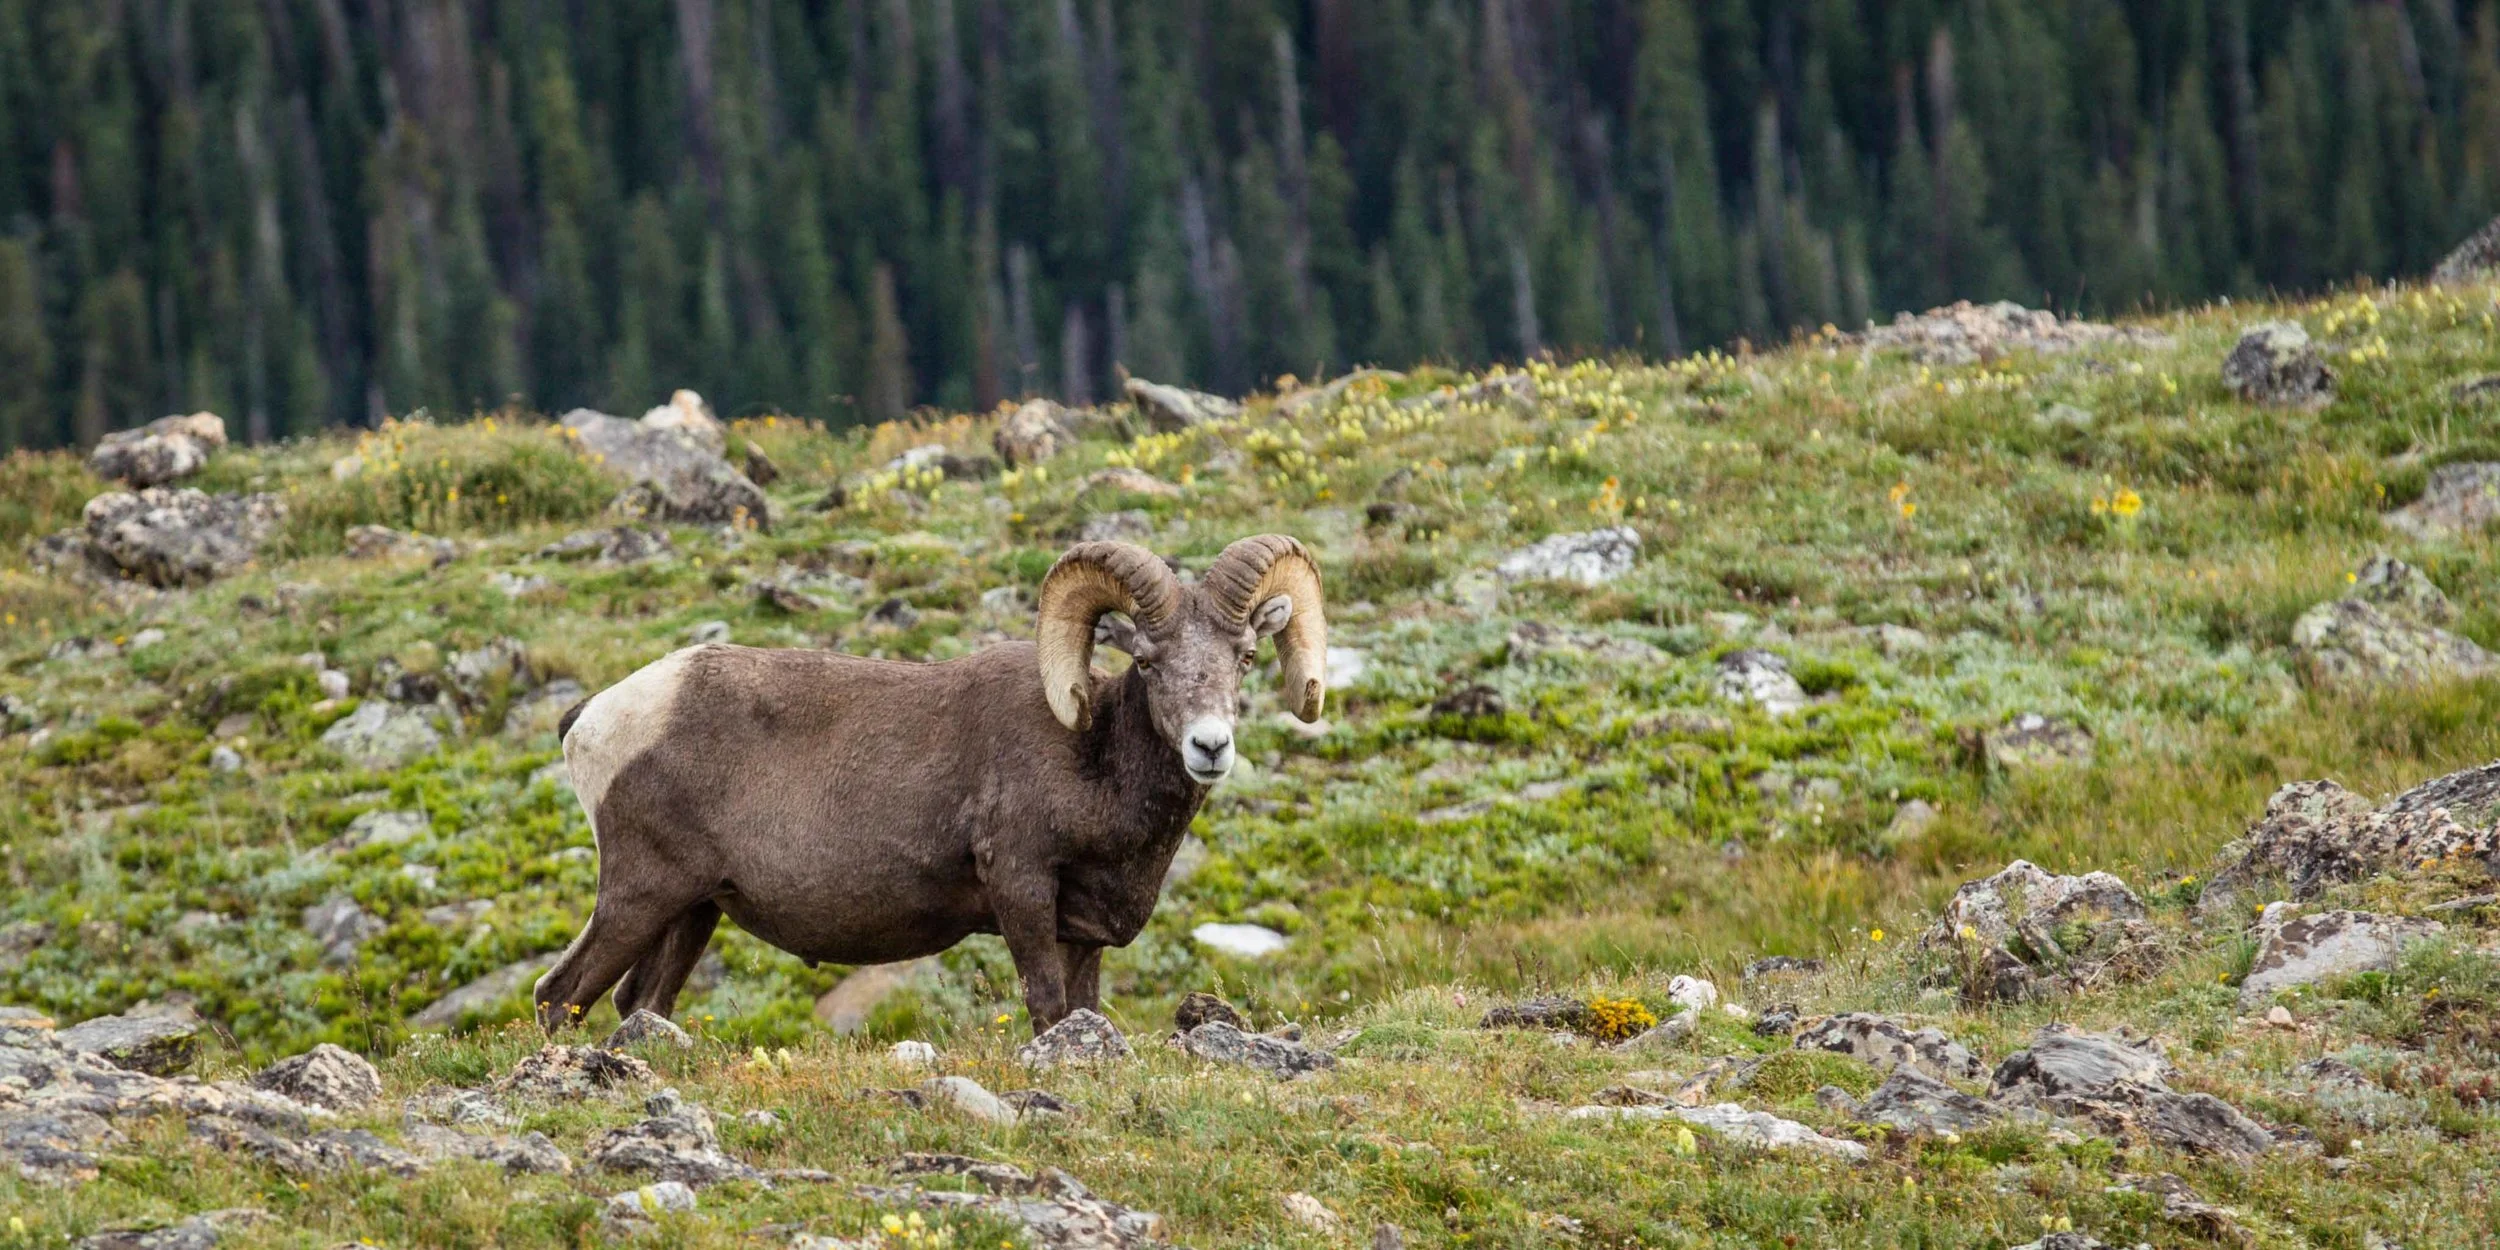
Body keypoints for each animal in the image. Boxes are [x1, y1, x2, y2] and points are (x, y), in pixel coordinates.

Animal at [533, 534, 1326, 1033]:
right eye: (1149, 662)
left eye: (1245, 656)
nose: (1209, 746)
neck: (1092, 761)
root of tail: (593, 718)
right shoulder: (1021, 889)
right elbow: (1047, 1007)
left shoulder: (1082, 934)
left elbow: (1084, 1009)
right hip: (639, 895)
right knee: (558, 995)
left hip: (692, 912)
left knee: (640, 1004)